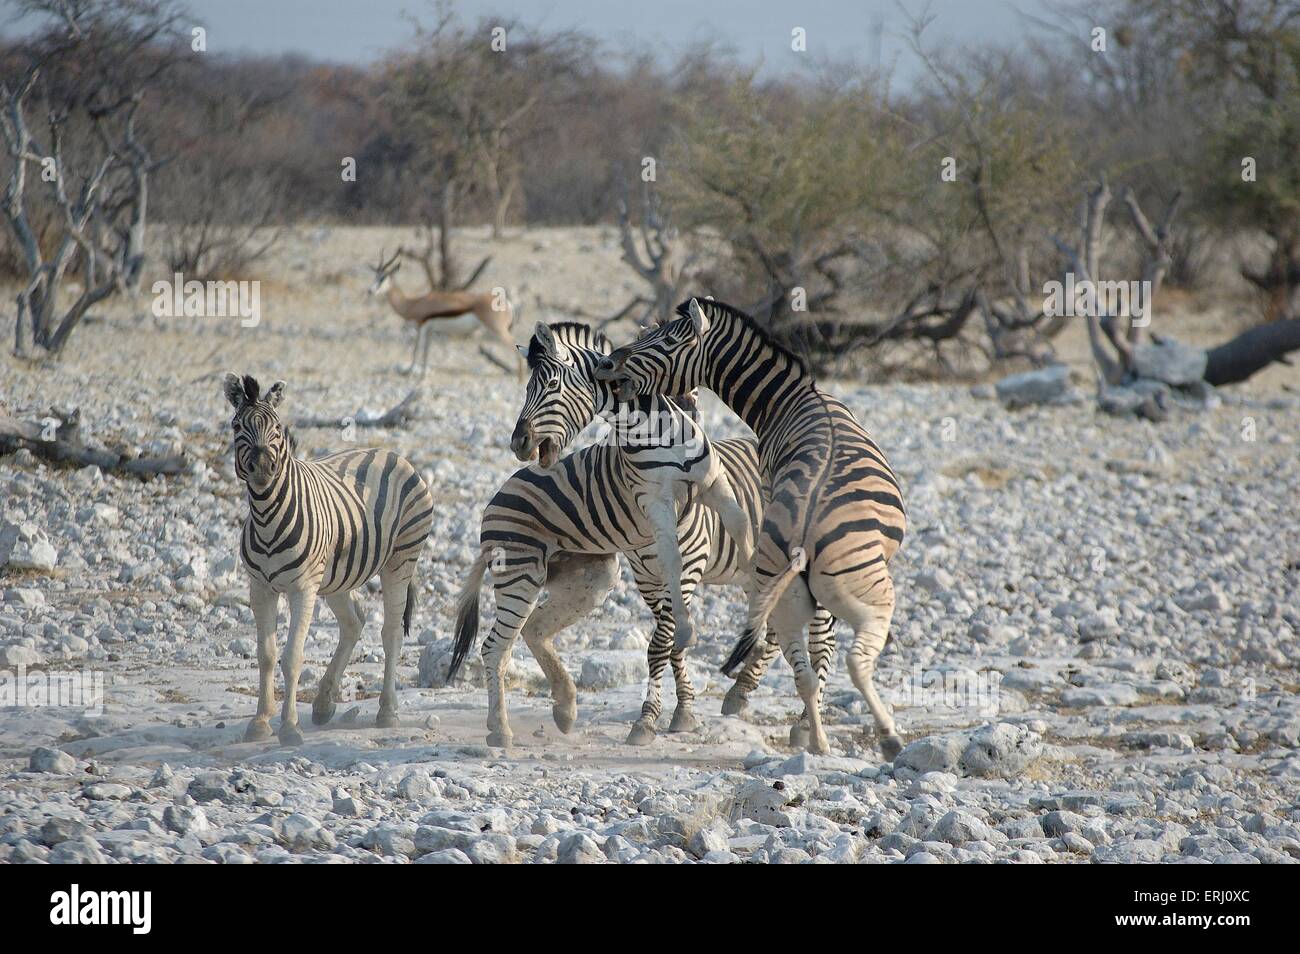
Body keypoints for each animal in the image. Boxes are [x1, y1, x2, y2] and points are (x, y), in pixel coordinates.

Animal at [219, 374, 431, 748]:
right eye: (236, 426)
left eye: (277, 427)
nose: (262, 469)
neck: (266, 517)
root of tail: (388, 451)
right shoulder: (260, 588)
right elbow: (266, 655)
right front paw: (260, 723)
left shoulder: (303, 588)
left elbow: (292, 657)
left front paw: (289, 728)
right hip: (337, 576)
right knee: (353, 622)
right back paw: (322, 703)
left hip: (401, 560)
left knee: (391, 632)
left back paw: (387, 713)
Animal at [447, 324, 832, 748]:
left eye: (550, 384)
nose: (518, 443)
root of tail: (491, 507)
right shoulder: (653, 569)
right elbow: (665, 644)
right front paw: (665, 716)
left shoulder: (697, 535)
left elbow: (669, 637)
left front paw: (669, 713)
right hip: (535, 575)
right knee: (499, 646)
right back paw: (507, 727)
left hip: (586, 578)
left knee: (820, 637)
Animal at [595, 300, 909, 764]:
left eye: (667, 340)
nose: (607, 364)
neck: (793, 399)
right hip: (870, 594)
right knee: (842, 657)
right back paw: (877, 737)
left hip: (803, 594)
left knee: (804, 661)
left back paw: (813, 735)